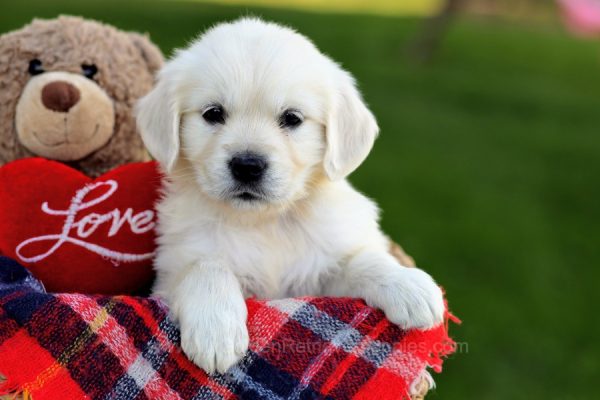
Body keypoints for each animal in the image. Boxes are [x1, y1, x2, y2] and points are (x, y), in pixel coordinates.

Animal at [137, 18, 446, 376]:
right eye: (213, 113)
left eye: (292, 118)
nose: (247, 166)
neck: (265, 221)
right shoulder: (173, 267)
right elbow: (205, 267)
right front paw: (215, 330)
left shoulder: (321, 275)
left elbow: (363, 260)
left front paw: (407, 284)